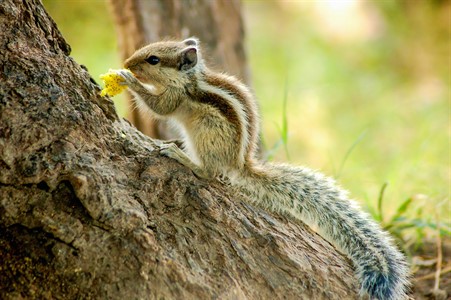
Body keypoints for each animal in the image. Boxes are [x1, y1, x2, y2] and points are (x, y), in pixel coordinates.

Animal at [118, 38, 412, 298]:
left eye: (153, 59)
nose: (127, 63)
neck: (189, 79)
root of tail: (240, 164)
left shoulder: (176, 96)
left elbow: (159, 107)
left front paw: (129, 80)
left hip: (205, 133)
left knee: (209, 172)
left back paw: (180, 155)